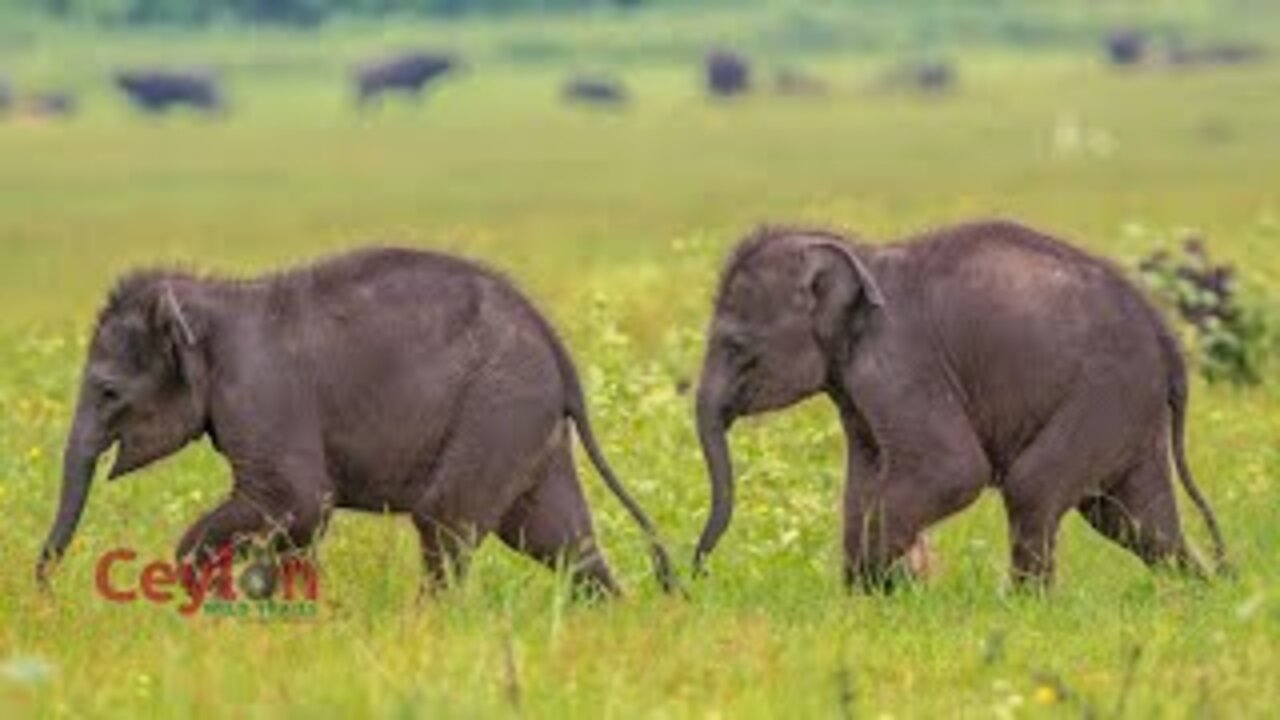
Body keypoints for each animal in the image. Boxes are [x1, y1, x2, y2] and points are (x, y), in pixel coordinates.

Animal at [37, 245, 680, 594]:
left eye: (108, 391)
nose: (42, 591)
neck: (209, 303)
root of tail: (559, 352)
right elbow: (294, 522)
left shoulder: (260, 391)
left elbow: (300, 502)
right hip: (525, 425)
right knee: (556, 537)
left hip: (498, 407)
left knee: (446, 521)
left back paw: (429, 628)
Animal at [696, 219, 1223, 589]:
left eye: (737, 346)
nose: (694, 576)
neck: (861, 254)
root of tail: (1167, 339)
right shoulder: (854, 384)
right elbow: (864, 480)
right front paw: (875, 597)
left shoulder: (902, 362)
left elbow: (952, 471)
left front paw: (881, 588)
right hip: (1131, 412)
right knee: (1133, 520)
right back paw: (1204, 592)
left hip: (1105, 392)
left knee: (1034, 487)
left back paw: (1028, 608)